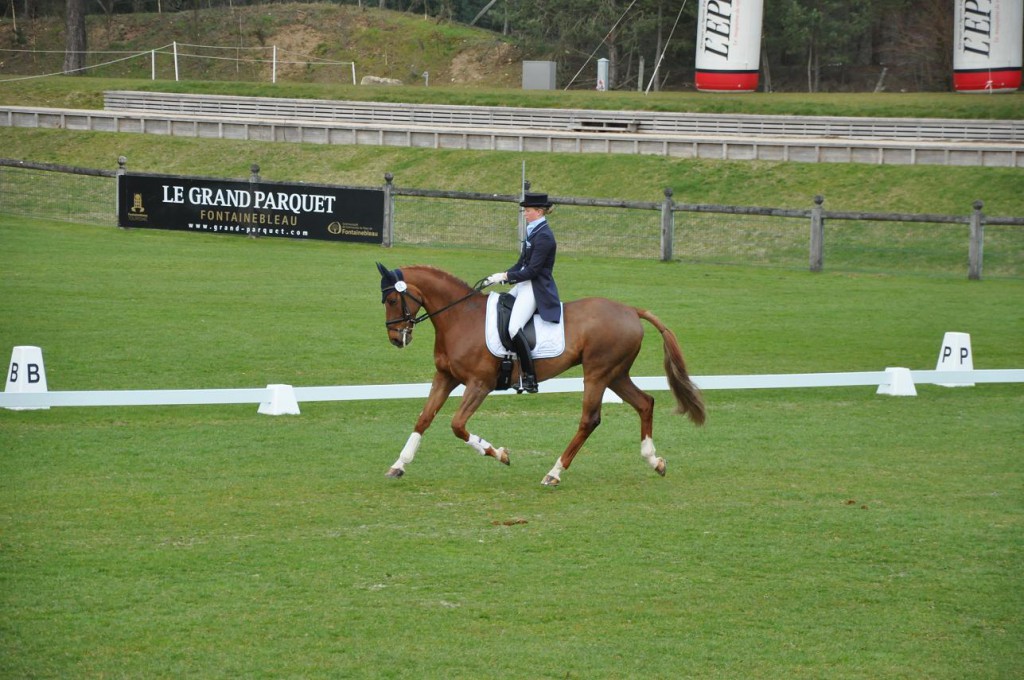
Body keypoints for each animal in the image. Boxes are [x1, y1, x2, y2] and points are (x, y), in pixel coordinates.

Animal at [376, 262, 704, 485]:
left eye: (392, 300)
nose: (395, 338)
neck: (460, 318)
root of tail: (630, 310)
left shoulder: (479, 384)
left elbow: (457, 425)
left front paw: (500, 454)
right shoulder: (445, 377)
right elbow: (424, 418)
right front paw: (398, 465)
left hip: (597, 374)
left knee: (590, 420)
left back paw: (554, 473)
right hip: (616, 374)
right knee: (645, 403)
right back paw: (654, 461)